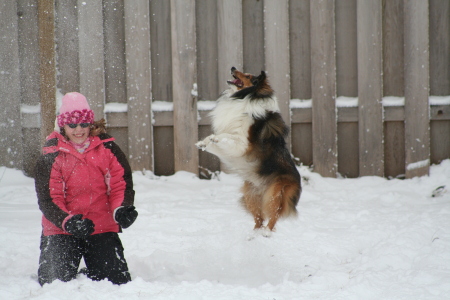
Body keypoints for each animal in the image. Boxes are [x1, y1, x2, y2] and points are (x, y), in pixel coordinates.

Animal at [195, 67, 300, 233]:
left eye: (249, 76)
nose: (232, 67)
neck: (247, 96)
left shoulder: (243, 144)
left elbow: (225, 135)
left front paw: (214, 138)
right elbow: (215, 141)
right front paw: (203, 143)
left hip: (274, 194)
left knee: (273, 217)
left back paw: (266, 234)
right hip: (250, 196)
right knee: (259, 220)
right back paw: (253, 236)